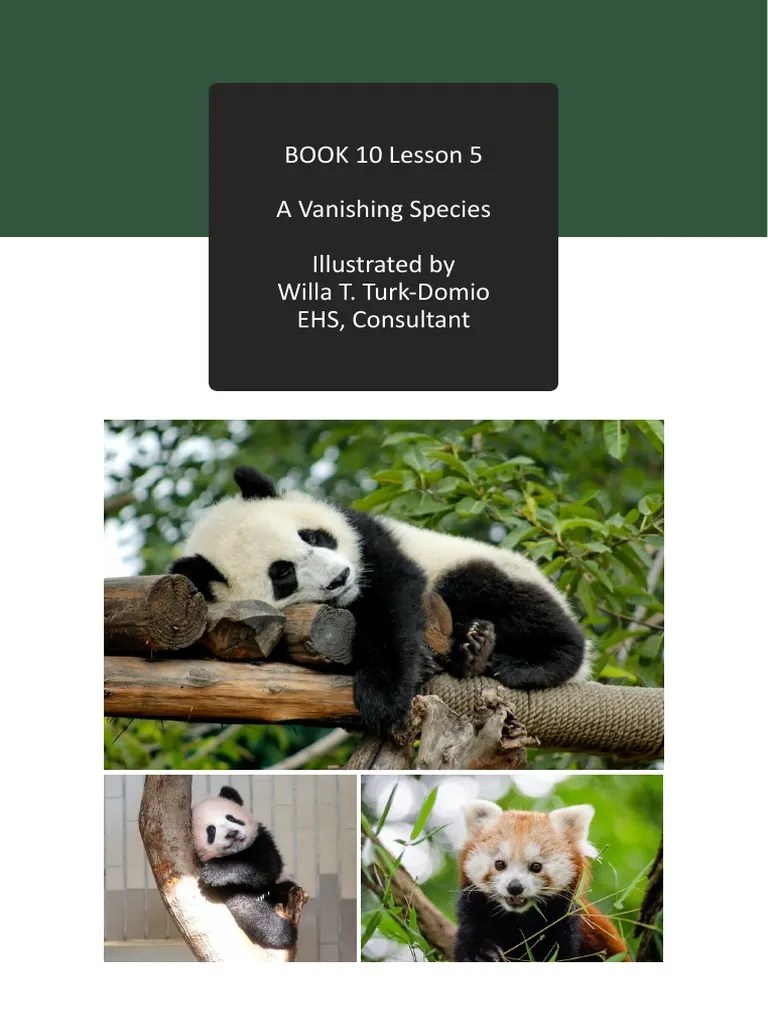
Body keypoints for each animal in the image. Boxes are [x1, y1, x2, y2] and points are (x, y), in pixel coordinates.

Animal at [172, 465, 589, 733]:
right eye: (283, 574)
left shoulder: (369, 541)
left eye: (313, 536)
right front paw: (407, 676)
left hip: (482, 568)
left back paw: (525, 662)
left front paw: (382, 694)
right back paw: (472, 654)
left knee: (500, 595)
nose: (340, 578)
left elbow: (393, 602)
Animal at [191, 784, 296, 949]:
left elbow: (267, 867)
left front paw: (216, 873)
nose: (232, 833)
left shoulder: (260, 840)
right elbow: (248, 908)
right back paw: (284, 934)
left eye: (231, 818)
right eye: (211, 830)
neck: (236, 852)